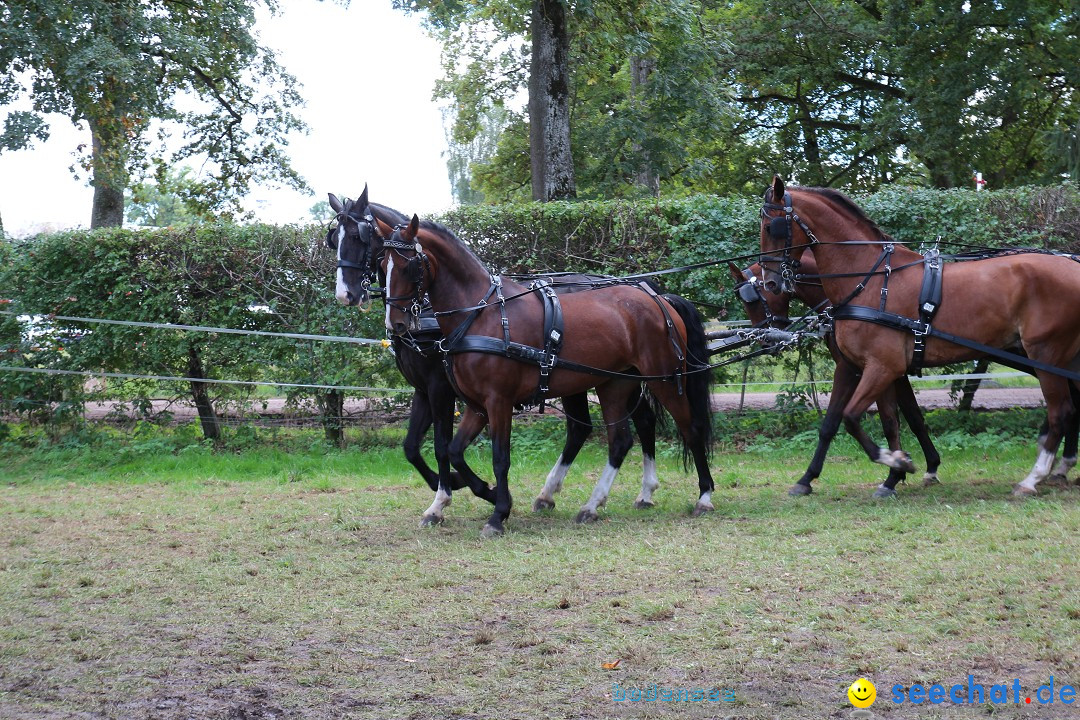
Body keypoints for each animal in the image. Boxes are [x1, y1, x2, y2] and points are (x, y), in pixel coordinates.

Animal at [326, 188, 665, 526]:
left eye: (358, 236)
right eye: (333, 239)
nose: (346, 295)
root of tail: (642, 287)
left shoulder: (441, 388)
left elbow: (441, 446)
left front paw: (451, 495)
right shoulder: (423, 389)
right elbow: (412, 447)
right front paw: (454, 490)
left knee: (621, 425)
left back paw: (634, 492)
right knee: (609, 425)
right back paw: (575, 493)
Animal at [375, 213, 712, 535]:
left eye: (411, 266)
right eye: (382, 265)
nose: (396, 325)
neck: (481, 315)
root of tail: (659, 300)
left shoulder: (496, 401)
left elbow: (499, 457)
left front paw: (498, 513)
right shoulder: (476, 405)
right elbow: (454, 451)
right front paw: (486, 492)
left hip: (665, 379)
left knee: (691, 428)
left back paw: (704, 497)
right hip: (615, 384)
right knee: (620, 440)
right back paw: (592, 505)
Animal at [730, 255, 941, 498]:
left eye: (751, 300)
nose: (765, 342)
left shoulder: (873, 368)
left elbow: (900, 420)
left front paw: (909, 469)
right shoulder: (884, 370)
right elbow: (907, 417)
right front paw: (917, 466)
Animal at [760, 175, 1080, 496]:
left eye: (770, 227)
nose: (771, 282)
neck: (870, 280)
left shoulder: (884, 368)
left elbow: (854, 418)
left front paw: (899, 462)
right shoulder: (856, 367)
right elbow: (848, 423)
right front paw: (814, 479)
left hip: (1044, 355)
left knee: (1061, 412)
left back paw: (1034, 477)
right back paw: (1057, 467)